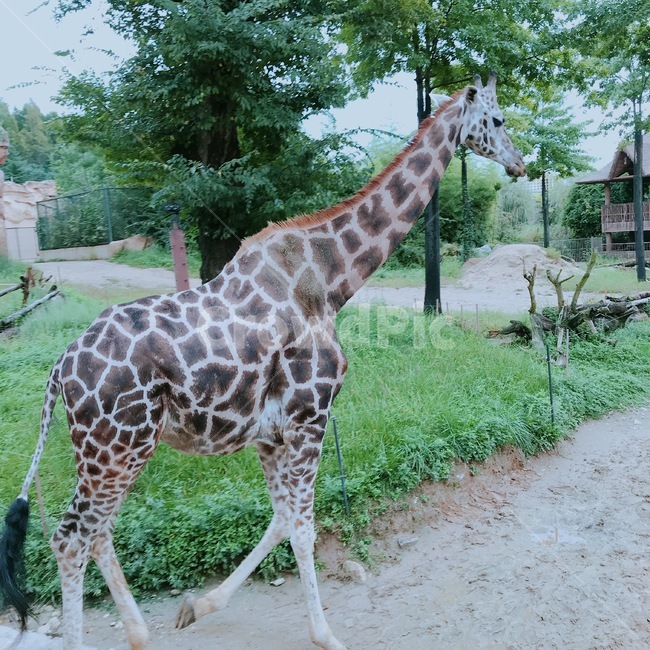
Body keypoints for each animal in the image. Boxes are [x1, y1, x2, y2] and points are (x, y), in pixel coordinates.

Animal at [0, 72, 525, 650]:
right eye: (497, 120)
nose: (521, 164)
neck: (331, 279)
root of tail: (59, 372)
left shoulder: (272, 431)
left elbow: (280, 519)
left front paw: (197, 606)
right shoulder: (310, 416)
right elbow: (303, 526)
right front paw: (326, 634)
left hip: (111, 450)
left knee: (97, 531)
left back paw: (139, 632)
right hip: (117, 446)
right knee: (71, 537)